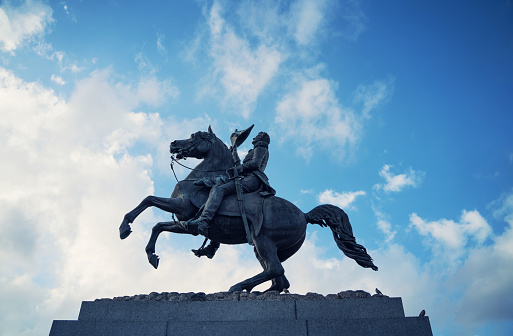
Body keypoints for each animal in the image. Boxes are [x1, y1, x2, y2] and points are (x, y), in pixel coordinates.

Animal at [120, 127, 376, 292]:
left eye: (195, 136)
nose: (173, 144)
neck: (199, 178)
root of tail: (304, 215)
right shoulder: (184, 222)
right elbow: (157, 224)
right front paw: (151, 255)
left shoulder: (183, 210)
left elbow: (148, 200)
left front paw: (125, 227)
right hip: (268, 247)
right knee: (280, 278)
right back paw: (261, 292)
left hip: (263, 240)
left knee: (275, 270)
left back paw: (237, 286)